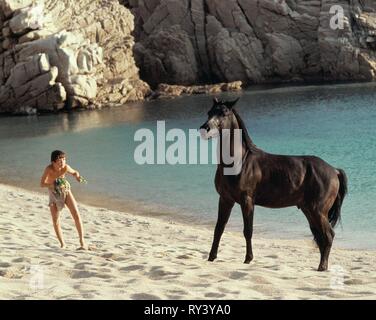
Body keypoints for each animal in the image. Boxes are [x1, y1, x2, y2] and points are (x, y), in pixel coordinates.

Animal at [200, 97, 346, 270]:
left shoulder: (247, 201)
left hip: (318, 211)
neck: (239, 162)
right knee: (321, 236)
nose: (204, 129)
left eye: (224, 113)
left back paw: (322, 267)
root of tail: (334, 170)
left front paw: (248, 259)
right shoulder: (225, 199)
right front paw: (211, 257)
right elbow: (219, 228)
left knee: (328, 235)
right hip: (309, 210)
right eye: (209, 112)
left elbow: (247, 230)